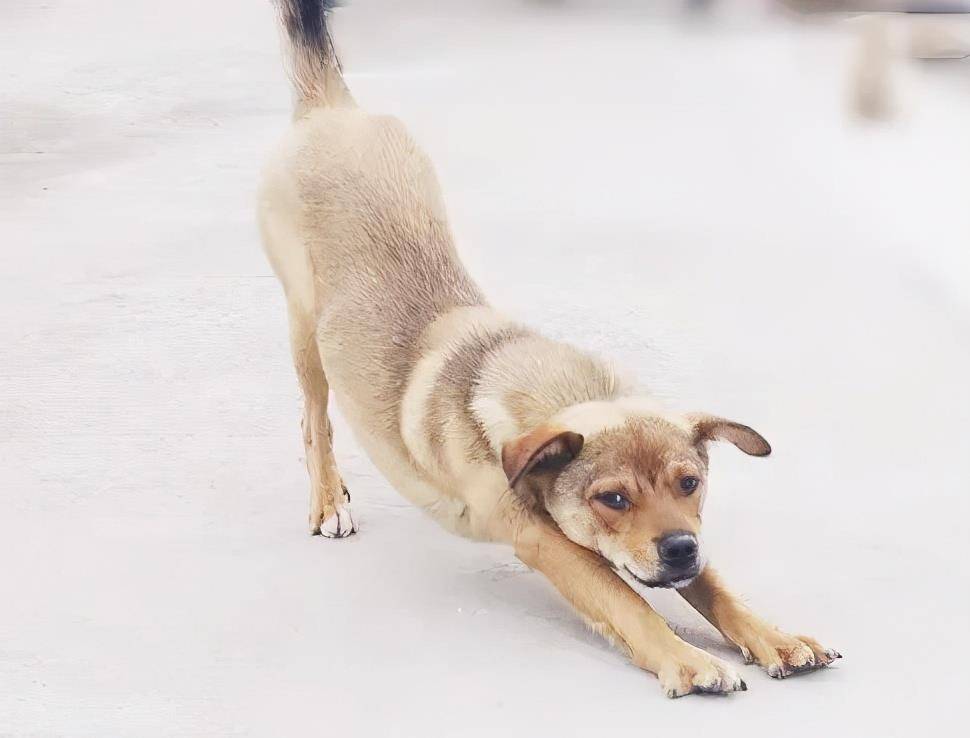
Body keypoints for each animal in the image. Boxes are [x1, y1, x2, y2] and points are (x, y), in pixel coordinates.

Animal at [260, 1, 840, 696]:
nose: (679, 549)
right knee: (313, 418)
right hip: (304, 326)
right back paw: (327, 499)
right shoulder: (547, 544)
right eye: (611, 499)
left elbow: (718, 589)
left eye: (690, 483)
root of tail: (329, 107)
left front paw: (774, 637)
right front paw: (687, 659)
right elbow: (628, 602)